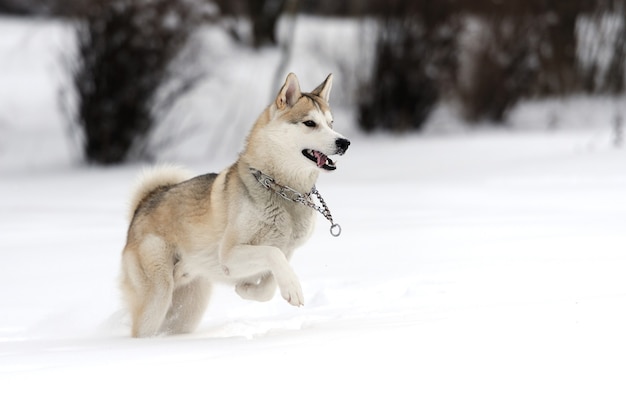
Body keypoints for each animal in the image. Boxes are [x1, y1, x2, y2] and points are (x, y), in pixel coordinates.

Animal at [119, 73, 348, 336]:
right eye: (310, 123)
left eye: (331, 123)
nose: (344, 142)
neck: (281, 190)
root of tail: (143, 204)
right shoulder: (229, 254)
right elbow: (271, 253)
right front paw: (291, 288)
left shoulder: (288, 251)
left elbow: (269, 286)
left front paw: (247, 289)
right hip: (158, 297)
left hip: (187, 310)